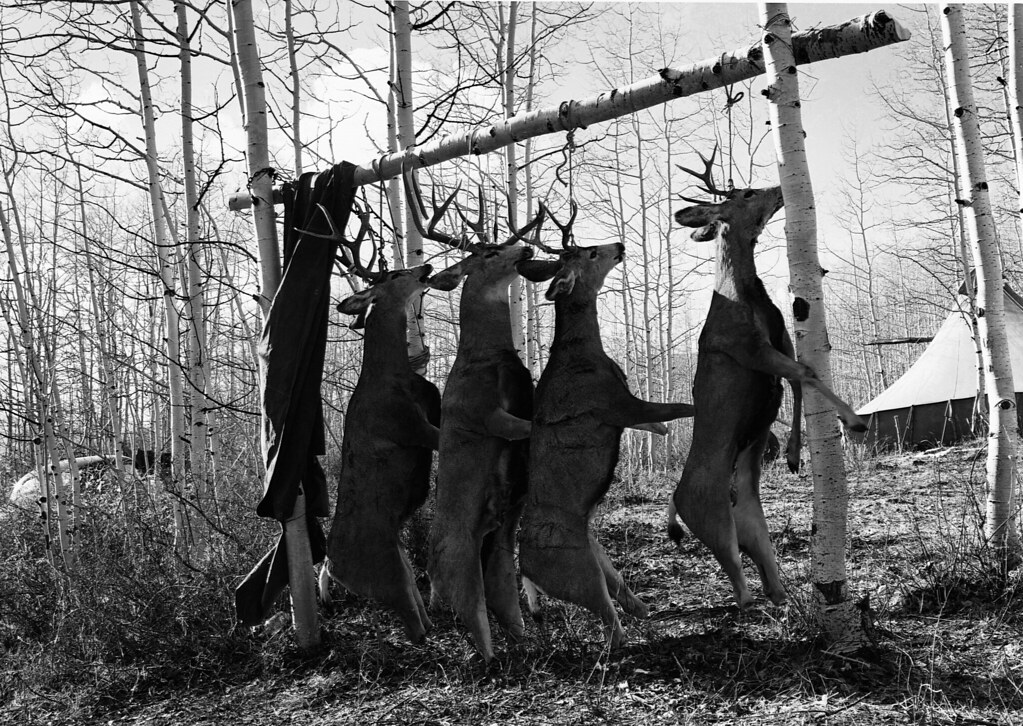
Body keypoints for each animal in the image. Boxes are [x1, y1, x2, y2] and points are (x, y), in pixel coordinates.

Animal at [307, 203, 442, 643]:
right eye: (395, 275)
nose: (425, 267)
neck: (391, 375)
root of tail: (331, 567)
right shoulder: (410, 426)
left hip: (398, 566)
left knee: (419, 611)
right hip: (386, 576)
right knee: (414, 627)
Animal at [402, 172, 544, 661]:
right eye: (485, 253)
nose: (525, 251)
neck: (486, 358)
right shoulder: (483, 414)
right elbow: (527, 426)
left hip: (496, 548)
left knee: (504, 603)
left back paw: (525, 641)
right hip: (460, 564)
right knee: (475, 621)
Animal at [515, 205, 695, 648]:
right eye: (591, 253)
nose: (619, 245)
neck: (584, 354)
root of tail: (525, 571)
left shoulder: (629, 409)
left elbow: (661, 423)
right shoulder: (616, 406)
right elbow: (682, 407)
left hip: (599, 560)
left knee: (629, 603)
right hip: (578, 571)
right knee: (613, 630)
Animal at [668, 148, 867, 608]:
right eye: (746, 193)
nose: (778, 188)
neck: (746, 296)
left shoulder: (781, 343)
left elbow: (797, 381)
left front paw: (793, 453)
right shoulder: (750, 350)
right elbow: (806, 374)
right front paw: (853, 421)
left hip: (753, 527)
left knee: (762, 562)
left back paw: (783, 597)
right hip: (710, 519)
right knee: (737, 580)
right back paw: (752, 601)